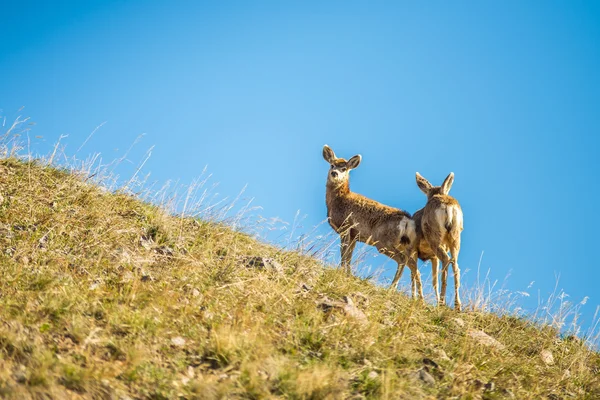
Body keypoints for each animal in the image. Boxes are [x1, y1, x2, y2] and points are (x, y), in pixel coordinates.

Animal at [322, 145, 424, 298]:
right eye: (332, 165)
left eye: (344, 168)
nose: (334, 173)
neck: (339, 200)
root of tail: (407, 220)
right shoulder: (354, 235)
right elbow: (349, 256)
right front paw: (348, 274)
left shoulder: (346, 227)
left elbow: (344, 254)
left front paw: (342, 272)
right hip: (407, 245)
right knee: (414, 267)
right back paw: (418, 298)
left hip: (383, 241)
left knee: (402, 261)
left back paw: (392, 289)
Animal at [412, 172, 464, 310]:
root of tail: (448, 206)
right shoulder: (433, 257)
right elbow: (433, 280)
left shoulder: (413, 250)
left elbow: (414, 273)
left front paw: (416, 298)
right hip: (455, 237)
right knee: (455, 266)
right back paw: (457, 305)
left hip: (434, 237)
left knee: (446, 260)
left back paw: (442, 302)